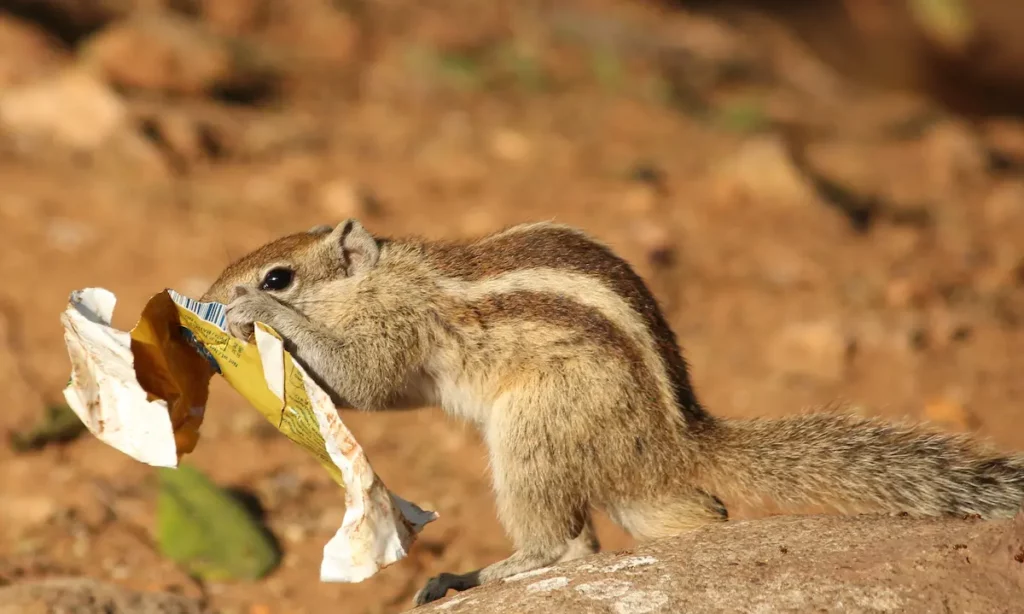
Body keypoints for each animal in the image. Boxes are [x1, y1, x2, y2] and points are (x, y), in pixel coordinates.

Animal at [201, 217, 1024, 605]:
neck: (384, 277)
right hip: (636, 491)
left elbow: (363, 381)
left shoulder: (394, 327)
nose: (211, 293)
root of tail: (678, 438)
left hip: (532, 436)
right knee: (676, 521)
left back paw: (473, 577)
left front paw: (253, 323)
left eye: (278, 276)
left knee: (559, 546)